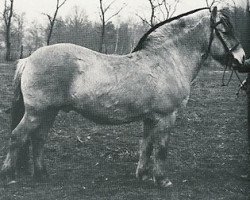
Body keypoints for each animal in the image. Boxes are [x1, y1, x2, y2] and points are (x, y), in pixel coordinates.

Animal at [0, 6, 246, 188]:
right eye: (224, 30)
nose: (243, 60)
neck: (167, 60)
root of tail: (28, 59)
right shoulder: (167, 117)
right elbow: (161, 149)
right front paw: (162, 180)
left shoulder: (151, 118)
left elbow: (146, 146)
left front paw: (144, 175)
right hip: (37, 113)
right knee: (17, 137)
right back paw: (9, 176)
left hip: (49, 112)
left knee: (38, 139)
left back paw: (42, 174)